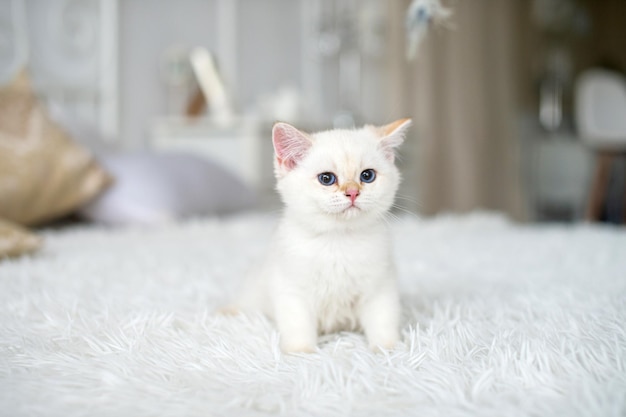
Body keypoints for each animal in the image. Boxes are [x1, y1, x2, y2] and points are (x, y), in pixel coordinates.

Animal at [229, 118, 410, 352]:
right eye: (326, 178)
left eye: (367, 175)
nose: (352, 192)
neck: (338, 239)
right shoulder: (291, 288)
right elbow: (298, 323)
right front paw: (301, 352)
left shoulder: (380, 286)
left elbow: (383, 319)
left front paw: (387, 349)